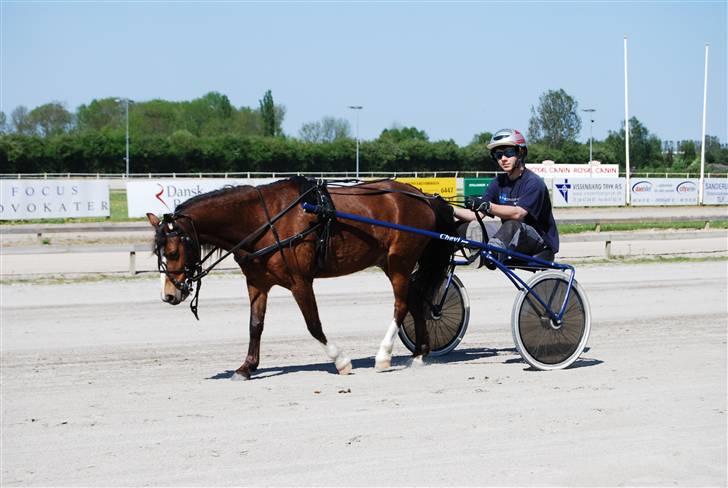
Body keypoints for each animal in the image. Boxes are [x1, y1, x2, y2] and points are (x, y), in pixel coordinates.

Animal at [146, 177, 456, 380]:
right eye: (158, 252)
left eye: (173, 251)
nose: (169, 294)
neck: (264, 220)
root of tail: (424, 196)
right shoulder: (257, 283)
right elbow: (255, 325)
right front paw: (246, 367)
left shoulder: (300, 281)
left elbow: (313, 324)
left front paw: (341, 360)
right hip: (391, 263)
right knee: (415, 300)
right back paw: (419, 353)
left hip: (399, 262)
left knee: (401, 305)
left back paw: (384, 355)